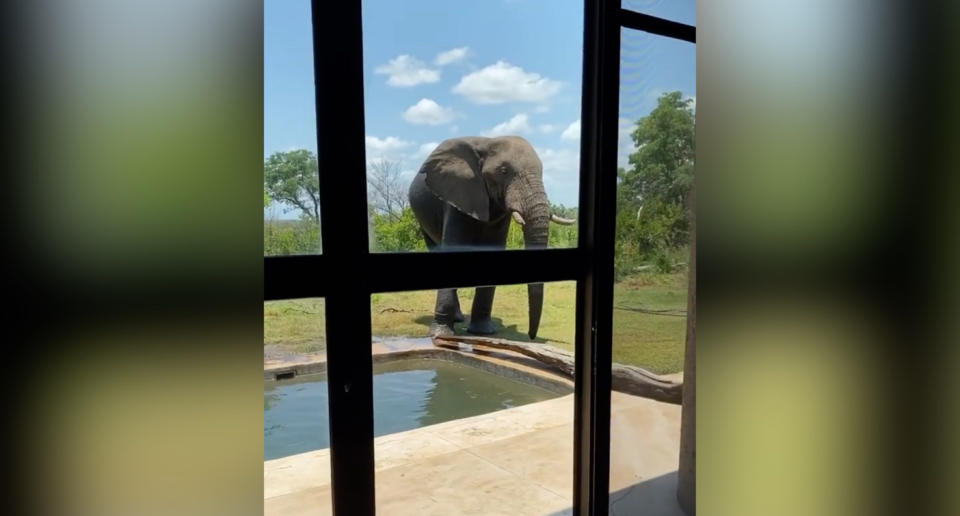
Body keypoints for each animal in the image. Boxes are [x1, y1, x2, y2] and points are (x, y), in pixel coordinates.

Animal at [406, 135, 572, 340]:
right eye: (503, 171)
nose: (531, 335)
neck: (488, 142)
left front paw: (483, 331)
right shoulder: (457, 194)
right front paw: (442, 334)